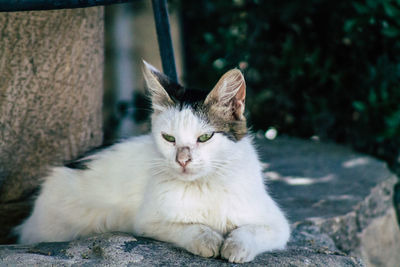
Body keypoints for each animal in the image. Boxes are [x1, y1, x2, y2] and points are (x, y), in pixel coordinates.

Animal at [16, 62, 290, 264]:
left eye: (205, 137)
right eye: (169, 138)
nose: (182, 160)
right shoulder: (148, 222)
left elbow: (250, 231)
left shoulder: (278, 224)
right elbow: (190, 228)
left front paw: (235, 247)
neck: (203, 185)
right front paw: (209, 240)